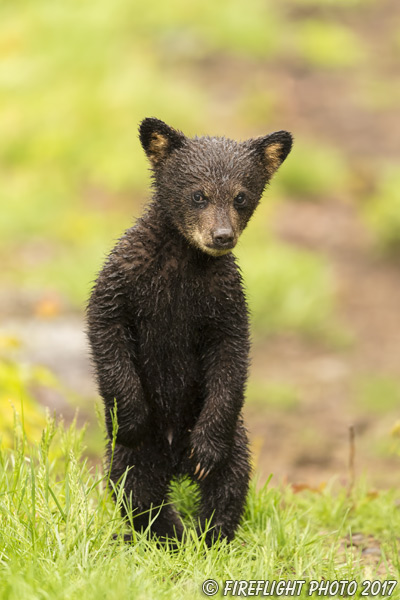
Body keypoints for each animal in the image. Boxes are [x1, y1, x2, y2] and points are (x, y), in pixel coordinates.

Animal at [87, 117, 292, 544]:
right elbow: (106, 329)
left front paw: (206, 453)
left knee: (230, 480)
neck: (183, 262)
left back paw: (209, 534)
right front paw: (132, 419)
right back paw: (166, 534)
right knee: (136, 486)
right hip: (134, 458)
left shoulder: (224, 299)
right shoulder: (124, 279)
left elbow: (231, 355)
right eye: (198, 195)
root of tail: (173, 460)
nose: (222, 236)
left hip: (233, 436)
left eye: (241, 197)